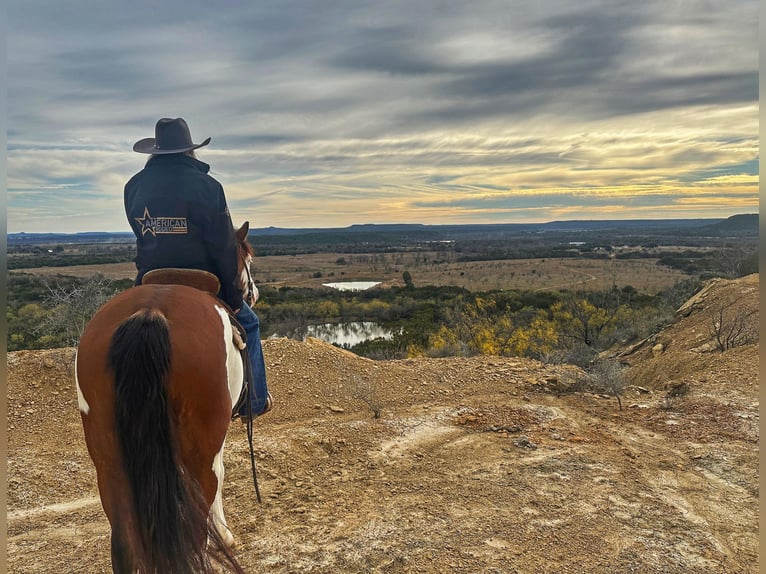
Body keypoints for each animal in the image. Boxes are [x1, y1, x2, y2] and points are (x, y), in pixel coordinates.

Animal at [77, 223, 258, 572]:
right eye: (247, 260)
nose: (253, 293)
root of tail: (150, 314)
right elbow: (220, 474)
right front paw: (225, 534)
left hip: (108, 456)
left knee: (123, 541)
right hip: (201, 443)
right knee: (201, 513)